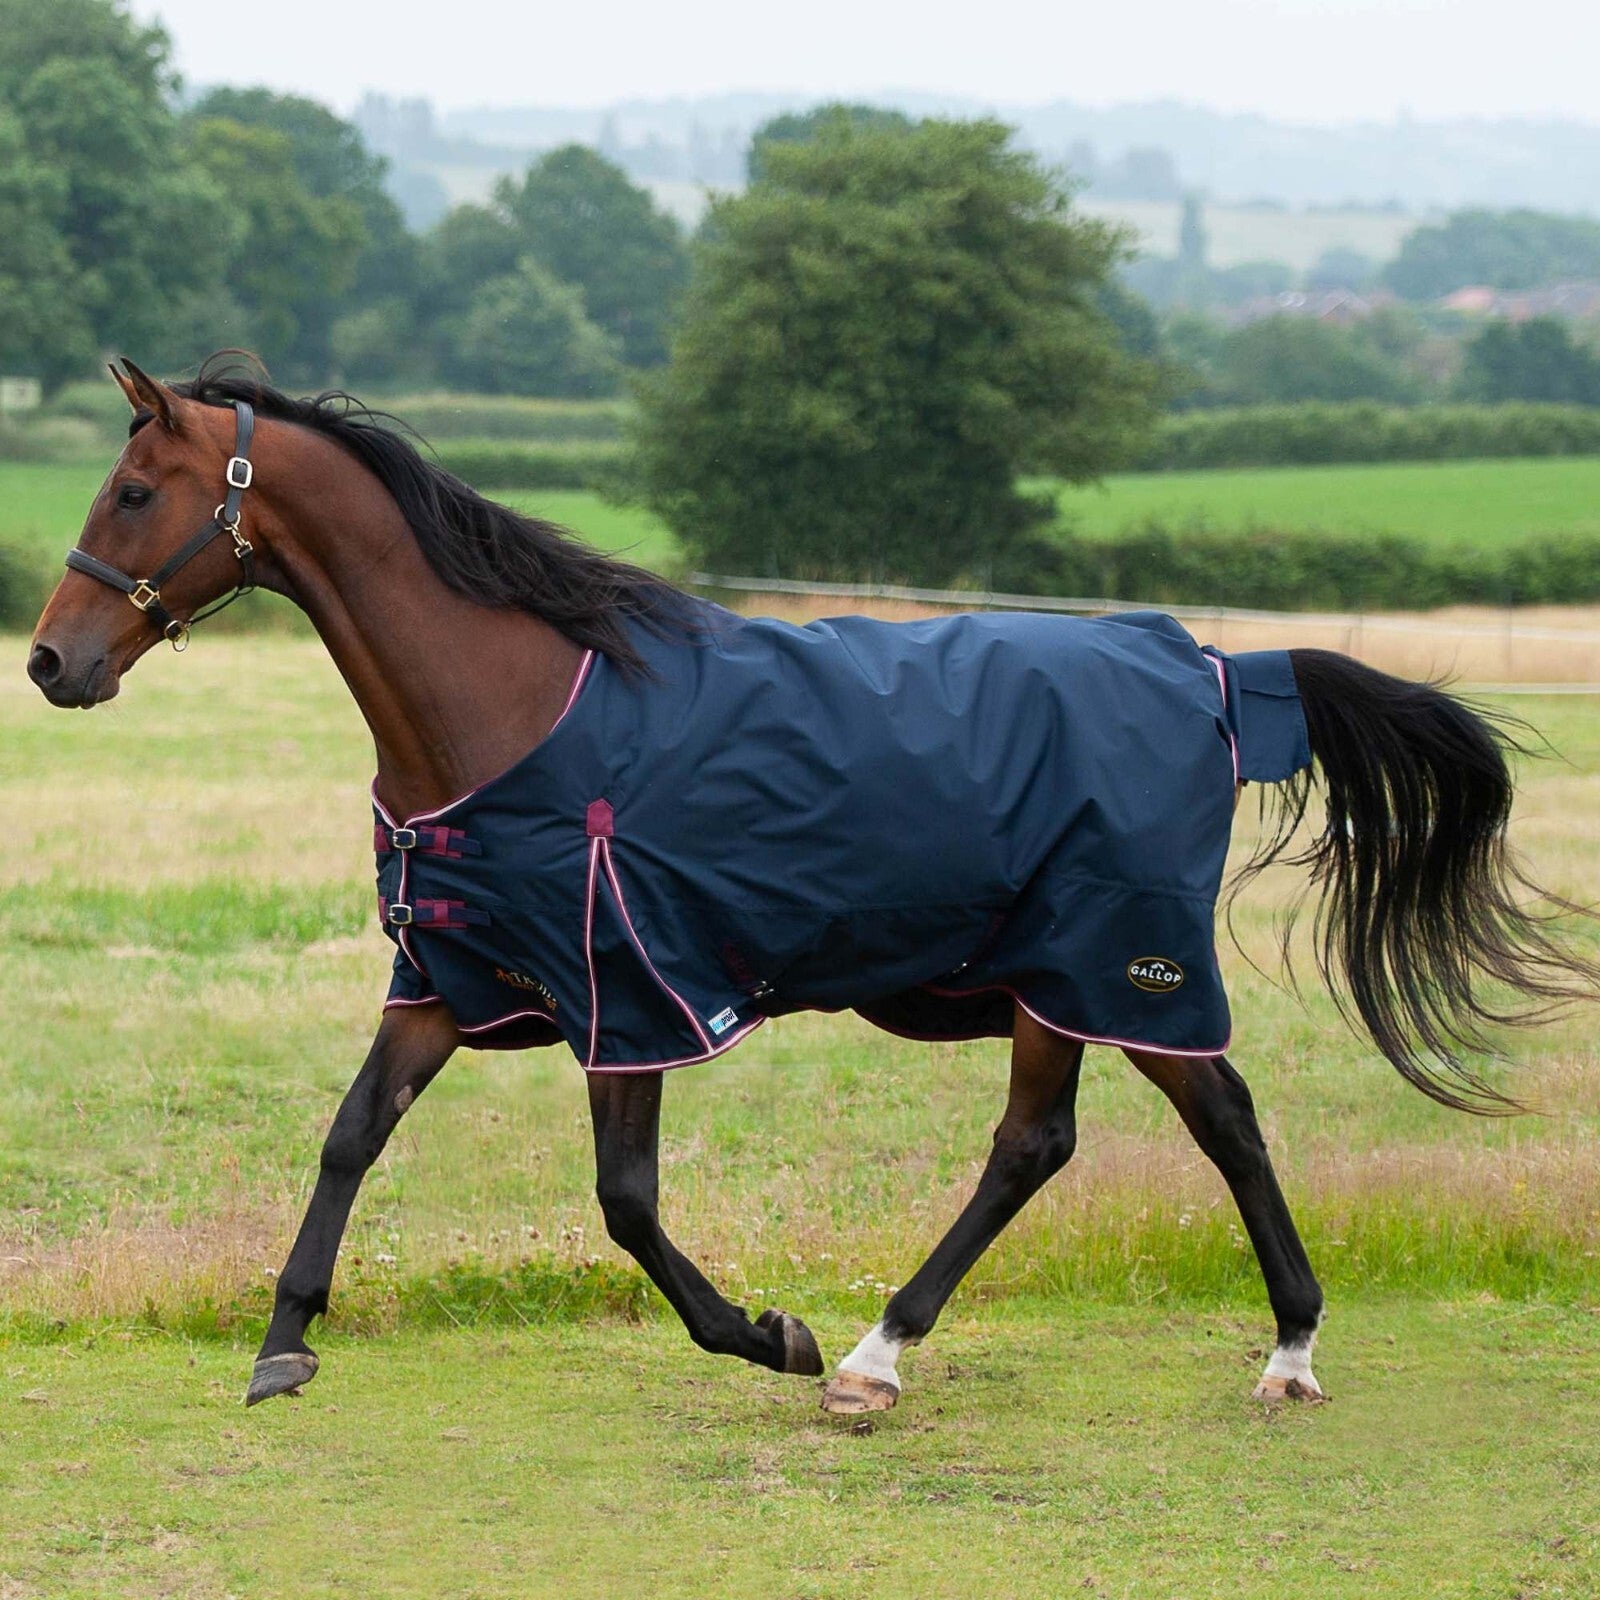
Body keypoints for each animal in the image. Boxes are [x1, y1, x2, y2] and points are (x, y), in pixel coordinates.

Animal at [27, 355, 1598, 1415]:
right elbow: (353, 1134)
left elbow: (625, 1202)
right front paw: (283, 1341)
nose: (52, 662)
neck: (511, 704)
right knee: (1099, 1137)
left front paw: (765, 1334)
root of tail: (1211, 668)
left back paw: (942, 1353)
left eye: (136, 488)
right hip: (1063, 978)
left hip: (1104, 962)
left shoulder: (628, 993)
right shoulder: (449, 977)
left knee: (1148, 1130)